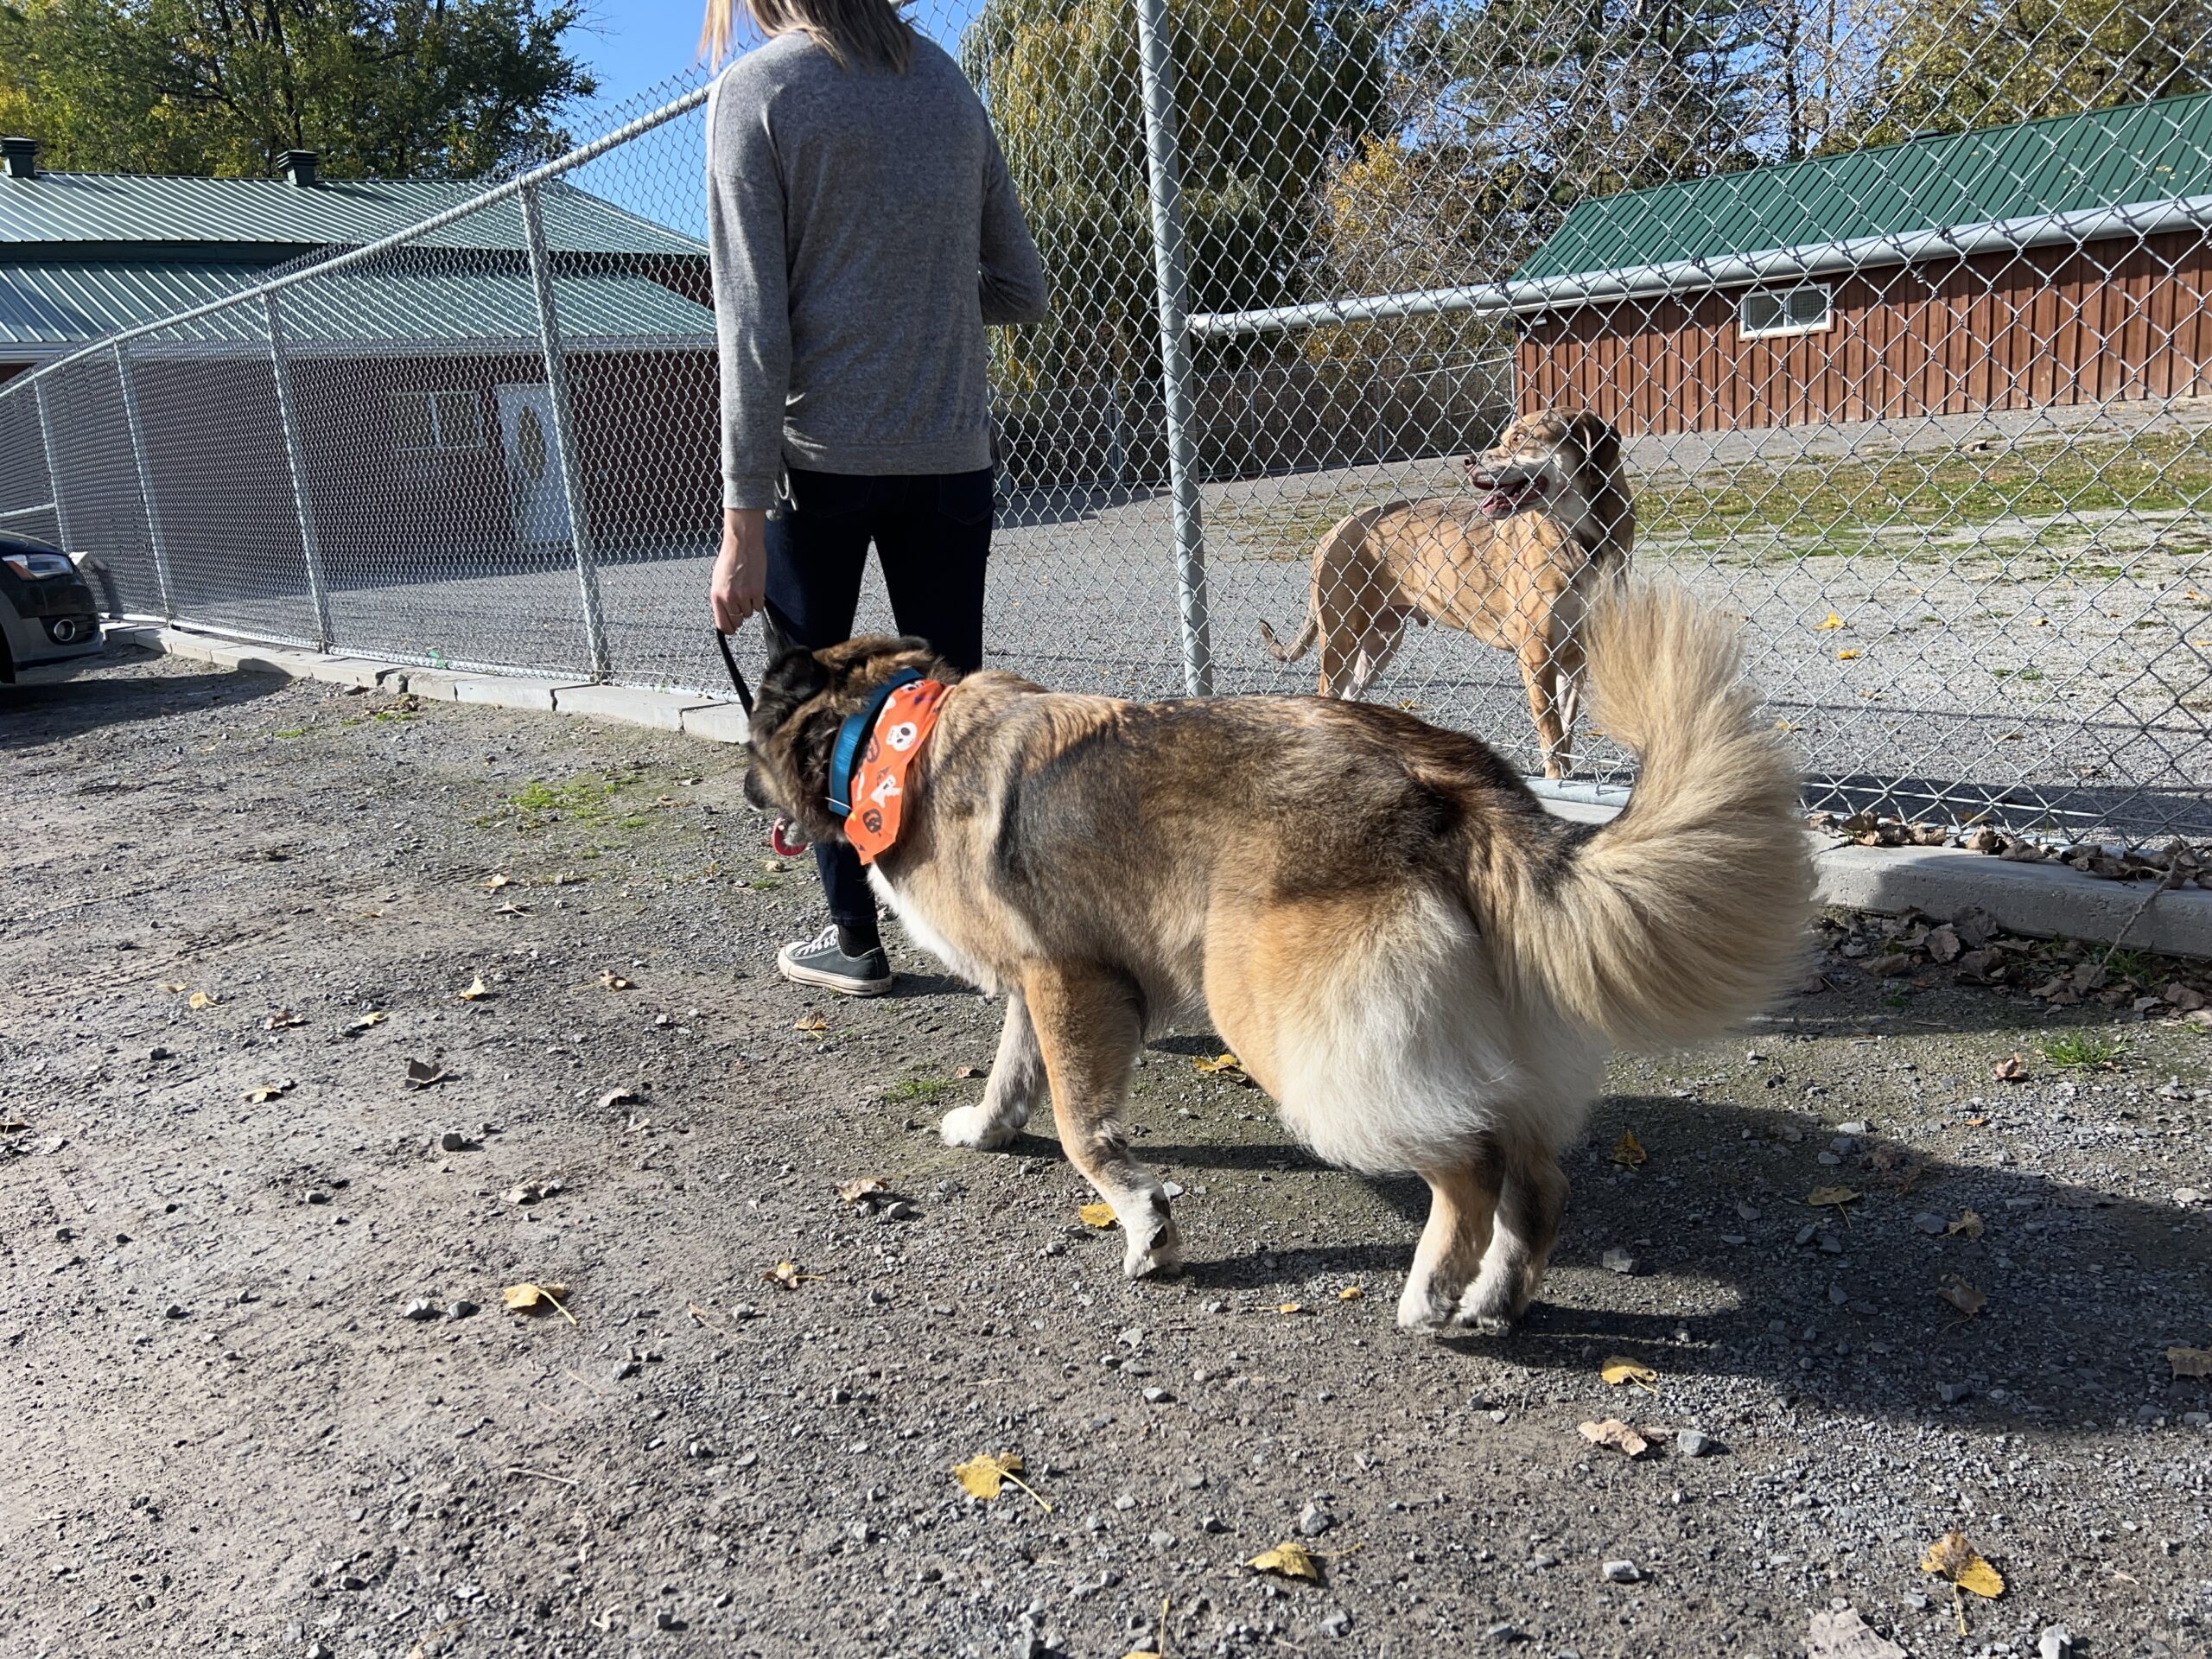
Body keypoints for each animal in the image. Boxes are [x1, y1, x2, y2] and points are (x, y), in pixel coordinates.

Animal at [734, 593, 1804, 1344]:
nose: (745, 793)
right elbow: (1014, 1074)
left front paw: (1145, 1225)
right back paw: (1495, 1301)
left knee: (1470, 1166)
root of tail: (1444, 774)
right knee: (1536, 1182)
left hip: (1279, 1022)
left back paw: (1429, 1294)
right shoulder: (1046, 979)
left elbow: (1083, 1128)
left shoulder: (1072, 983)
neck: (886, 735)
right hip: (1491, 1041)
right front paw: (989, 1130)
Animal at [1256, 413, 1637, 783]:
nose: (1468, 461)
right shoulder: (1537, 655)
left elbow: (1566, 732)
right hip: (1341, 639)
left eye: (1519, 438)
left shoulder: (1576, 658)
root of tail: (1335, 529)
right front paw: (1555, 777)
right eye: (1506, 437)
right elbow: (1551, 734)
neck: (1584, 537)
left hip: (1378, 645)